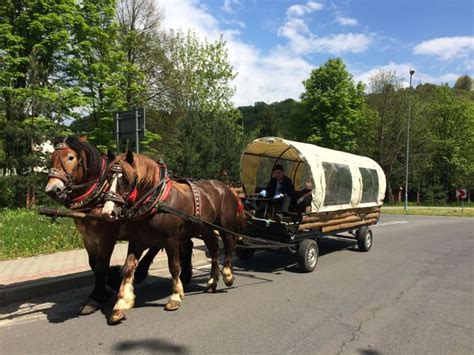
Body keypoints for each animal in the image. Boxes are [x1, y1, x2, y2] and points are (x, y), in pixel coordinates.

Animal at [102, 151, 246, 322]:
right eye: (107, 178)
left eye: (126, 179)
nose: (108, 212)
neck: (156, 201)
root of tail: (227, 188)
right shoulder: (137, 240)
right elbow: (128, 268)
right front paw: (121, 305)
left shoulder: (171, 240)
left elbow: (174, 266)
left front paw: (175, 297)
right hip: (205, 229)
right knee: (214, 250)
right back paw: (212, 282)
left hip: (225, 226)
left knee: (229, 246)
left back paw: (228, 275)